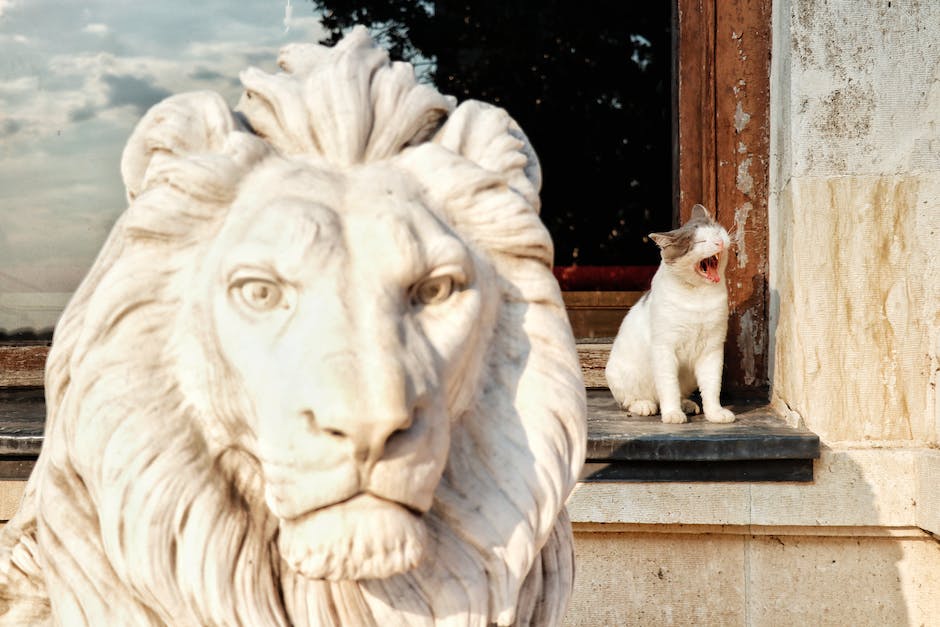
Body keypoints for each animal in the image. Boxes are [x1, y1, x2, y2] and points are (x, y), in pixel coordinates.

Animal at [604, 204, 740, 424]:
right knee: (632, 400)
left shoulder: (712, 349)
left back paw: (687, 404)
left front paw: (715, 413)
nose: (719, 242)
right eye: (700, 242)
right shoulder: (664, 349)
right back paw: (645, 405)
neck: (698, 296)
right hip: (620, 374)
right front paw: (672, 414)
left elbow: (712, 387)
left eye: (718, 232)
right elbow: (668, 386)